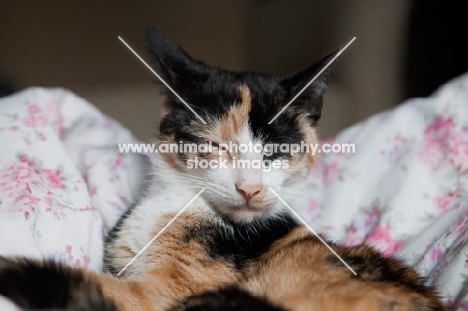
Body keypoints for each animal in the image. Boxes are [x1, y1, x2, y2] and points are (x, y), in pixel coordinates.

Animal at [0, 26, 446, 311]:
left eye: (275, 152)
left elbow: (83, 283)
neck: (177, 204)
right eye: (215, 147)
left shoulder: (161, 294)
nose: (249, 188)